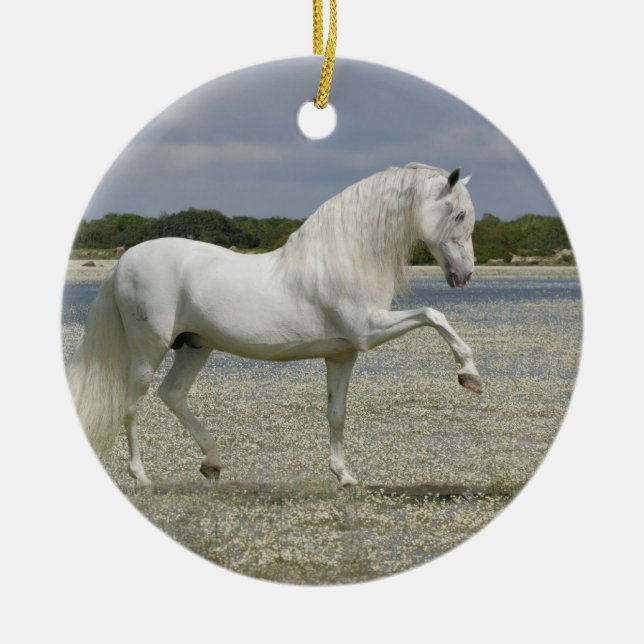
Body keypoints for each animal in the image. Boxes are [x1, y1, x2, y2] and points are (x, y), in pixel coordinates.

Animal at [67, 163, 482, 488]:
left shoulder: (344, 354)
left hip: (196, 346)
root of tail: (123, 263)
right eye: (459, 215)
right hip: (148, 349)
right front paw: (469, 375)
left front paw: (345, 476)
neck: (345, 258)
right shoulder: (368, 331)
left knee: (173, 394)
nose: (465, 276)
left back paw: (213, 463)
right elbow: (433, 315)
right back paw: (142, 476)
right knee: (131, 405)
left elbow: (336, 414)